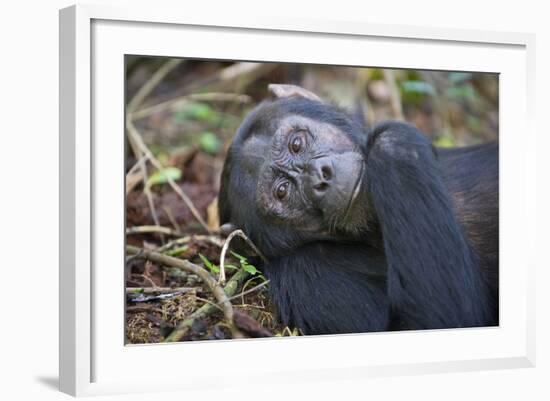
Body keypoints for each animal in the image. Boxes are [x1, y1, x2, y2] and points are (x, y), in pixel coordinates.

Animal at [220, 83, 500, 332]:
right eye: (282, 191)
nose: (320, 177)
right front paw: (391, 141)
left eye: (296, 144)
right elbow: (432, 319)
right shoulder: (305, 274)